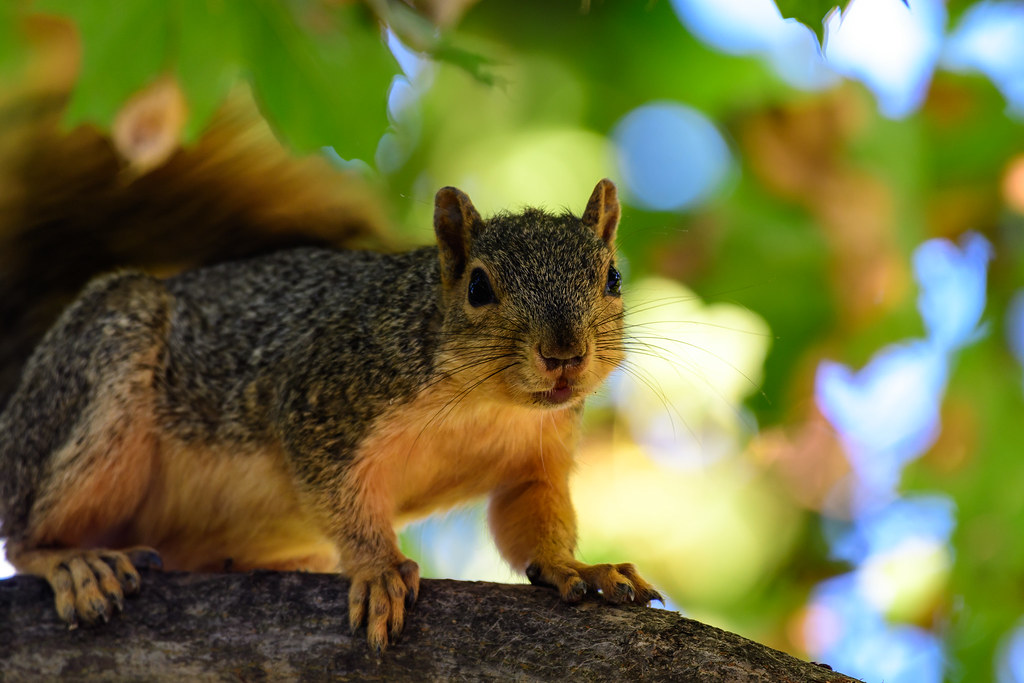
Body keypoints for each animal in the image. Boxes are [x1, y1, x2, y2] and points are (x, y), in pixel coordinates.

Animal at [0, 178, 660, 651]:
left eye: (612, 277)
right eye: (478, 288)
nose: (564, 356)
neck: (485, 405)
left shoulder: (535, 459)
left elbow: (531, 518)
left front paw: (580, 566)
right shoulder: (323, 403)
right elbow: (340, 497)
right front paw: (380, 569)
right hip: (101, 369)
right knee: (24, 531)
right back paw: (72, 563)